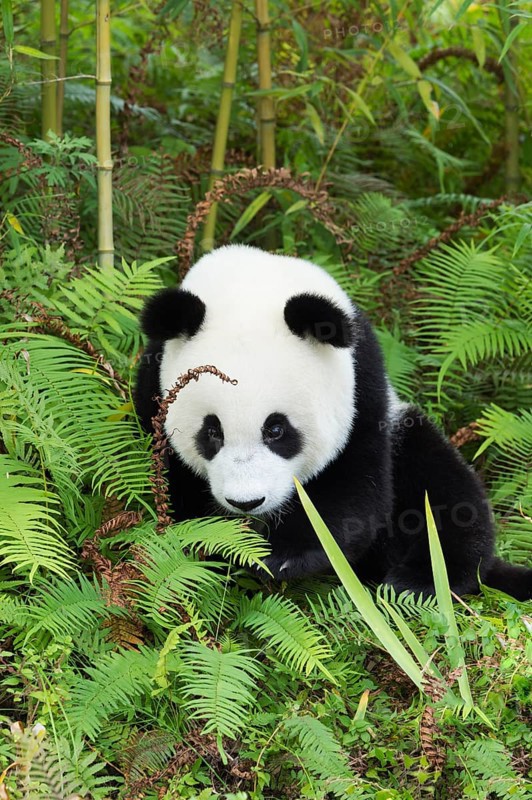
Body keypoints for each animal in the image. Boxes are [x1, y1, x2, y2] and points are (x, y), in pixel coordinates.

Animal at [135, 244, 532, 600]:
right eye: (212, 431)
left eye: (276, 430)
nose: (247, 502)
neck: (253, 286)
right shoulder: (154, 382)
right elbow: (172, 479)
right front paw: (219, 544)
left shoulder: (361, 389)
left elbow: (354, 488)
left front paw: (282, 556)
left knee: (444, 491)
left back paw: (420, 580)